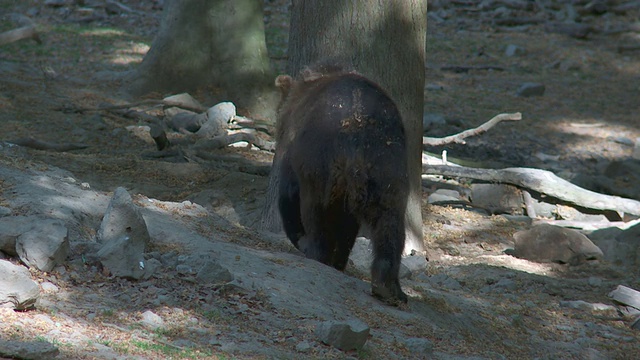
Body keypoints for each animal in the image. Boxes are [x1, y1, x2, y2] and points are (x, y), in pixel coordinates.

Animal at [276, 62, 410, 304]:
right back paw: (388, 288)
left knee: (315, 211)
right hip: (388, 164)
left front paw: (300, 238)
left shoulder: (291, 150)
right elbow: (348, 225)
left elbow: (288, 194)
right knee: (390, 221)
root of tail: (357, 129)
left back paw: (314, 251)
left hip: (319, 161)